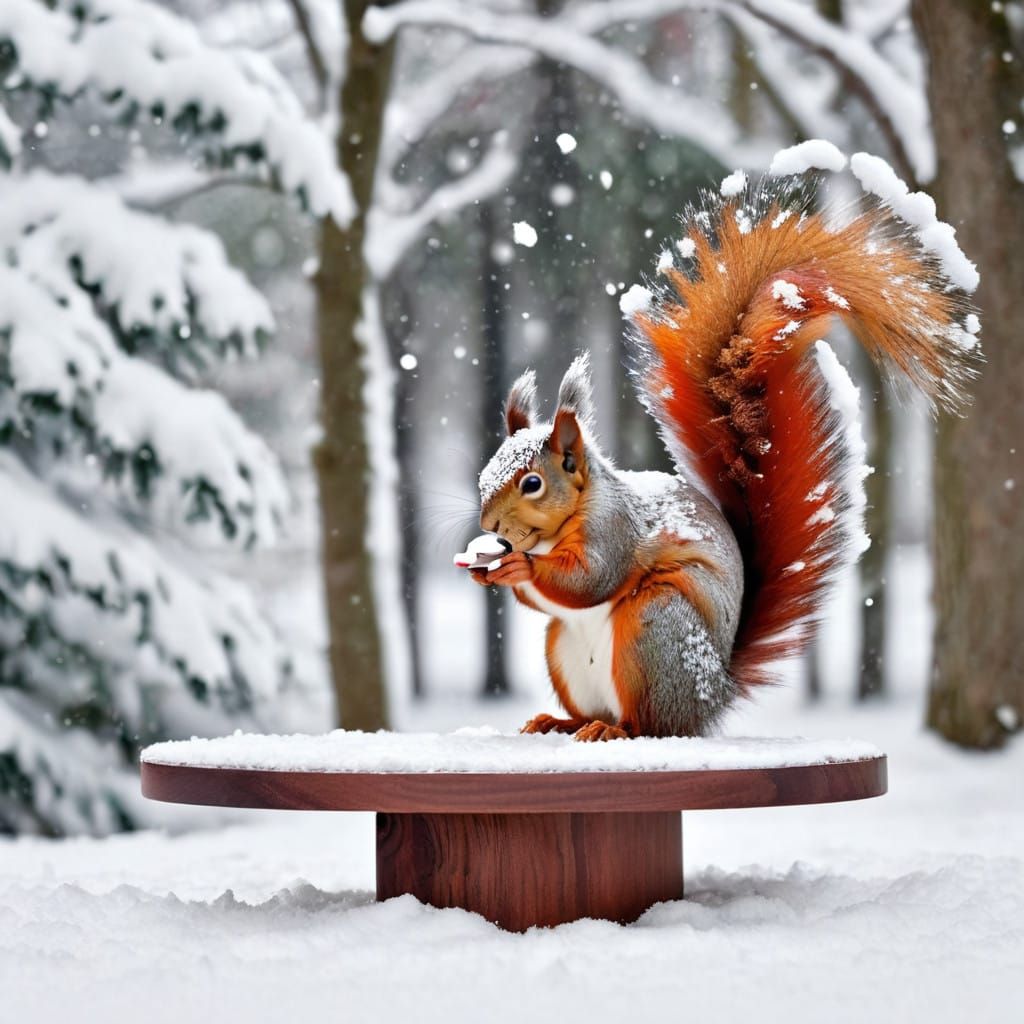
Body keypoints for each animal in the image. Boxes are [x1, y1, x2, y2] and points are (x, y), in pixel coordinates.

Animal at [469, 153, 980, 742]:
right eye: (485, 475)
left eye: (533, 482)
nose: (489, 526)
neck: (558, 528)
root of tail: (713, 697)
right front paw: (494, 569)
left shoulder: (613, 529)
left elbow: (590, 580)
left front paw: (521, 568)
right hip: (564, 648)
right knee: (595, 705)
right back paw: (561, 720)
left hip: (655, 628)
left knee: (652, 724)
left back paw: (615, 730)